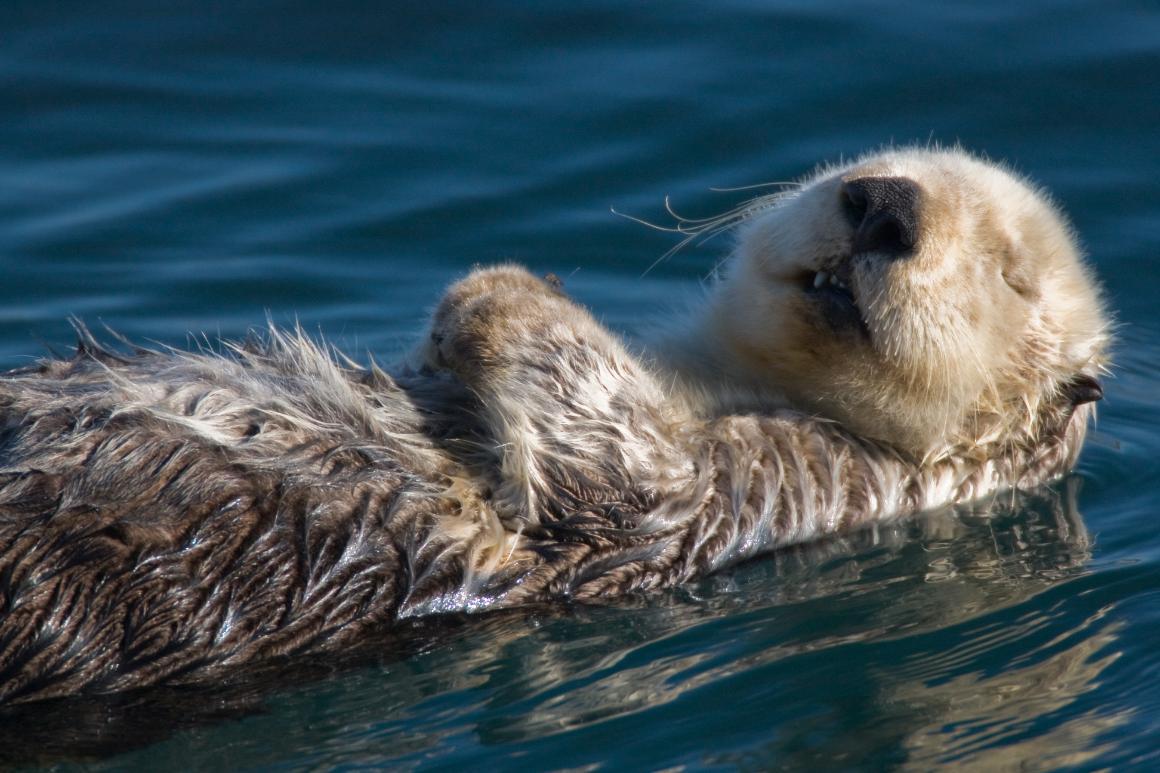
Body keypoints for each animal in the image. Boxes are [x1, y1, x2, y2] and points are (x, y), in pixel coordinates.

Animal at [0, 148, 1108, 703]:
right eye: (873, 165)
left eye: (1009, 272)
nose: (882, 205)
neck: (720, 377)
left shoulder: (785, 482)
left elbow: (621, 473)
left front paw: (498, 289)